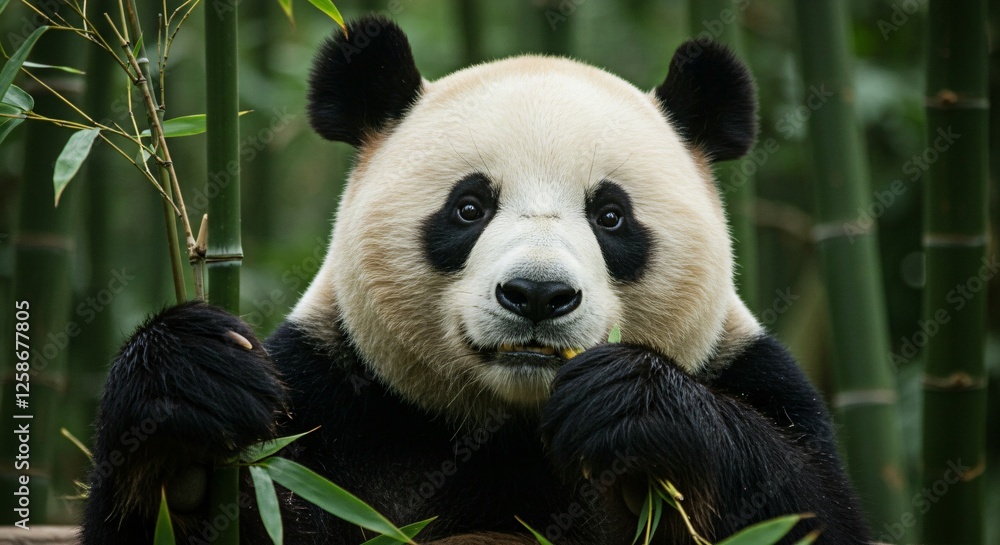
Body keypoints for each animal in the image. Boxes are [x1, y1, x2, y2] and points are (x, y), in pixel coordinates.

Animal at [81, 15, 873, 545]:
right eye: (469, 207)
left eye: (611, 215)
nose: (538, 296)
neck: (508, 424)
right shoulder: (329, 397)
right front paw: (188, 411)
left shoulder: (750, 372)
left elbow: (804, 506)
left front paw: (634, 404)